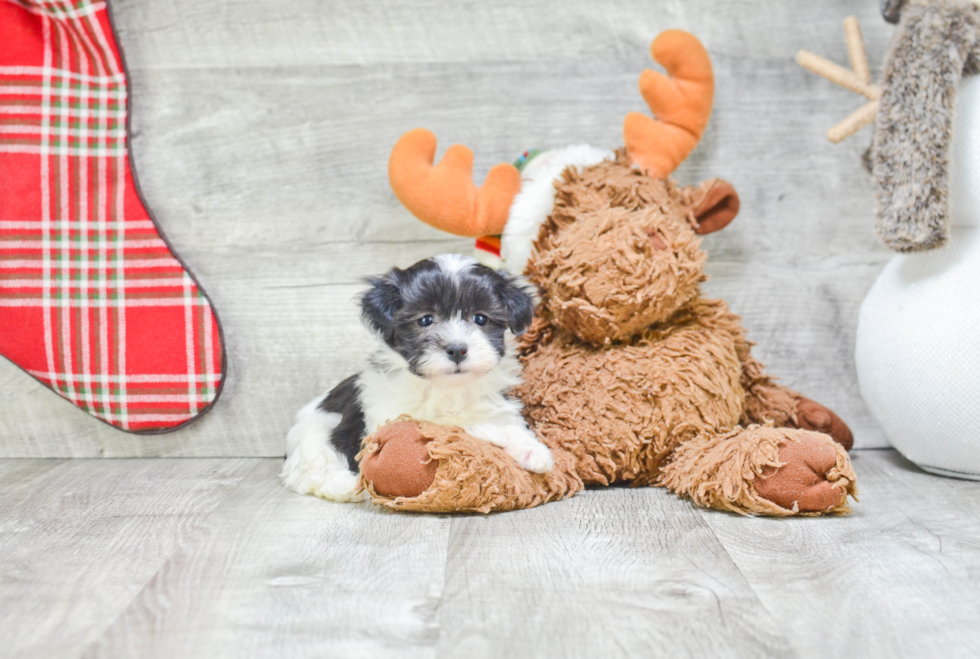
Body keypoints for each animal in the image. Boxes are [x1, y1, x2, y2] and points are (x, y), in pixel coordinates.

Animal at [280, 255, 552, 502]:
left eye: (481, 318)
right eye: (425, 320)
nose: (457, 349)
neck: (447, 388)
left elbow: (504, 421)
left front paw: (530, 447)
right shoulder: (397, 416)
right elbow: (462, 428)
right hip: (316, 433)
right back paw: (345, 485)